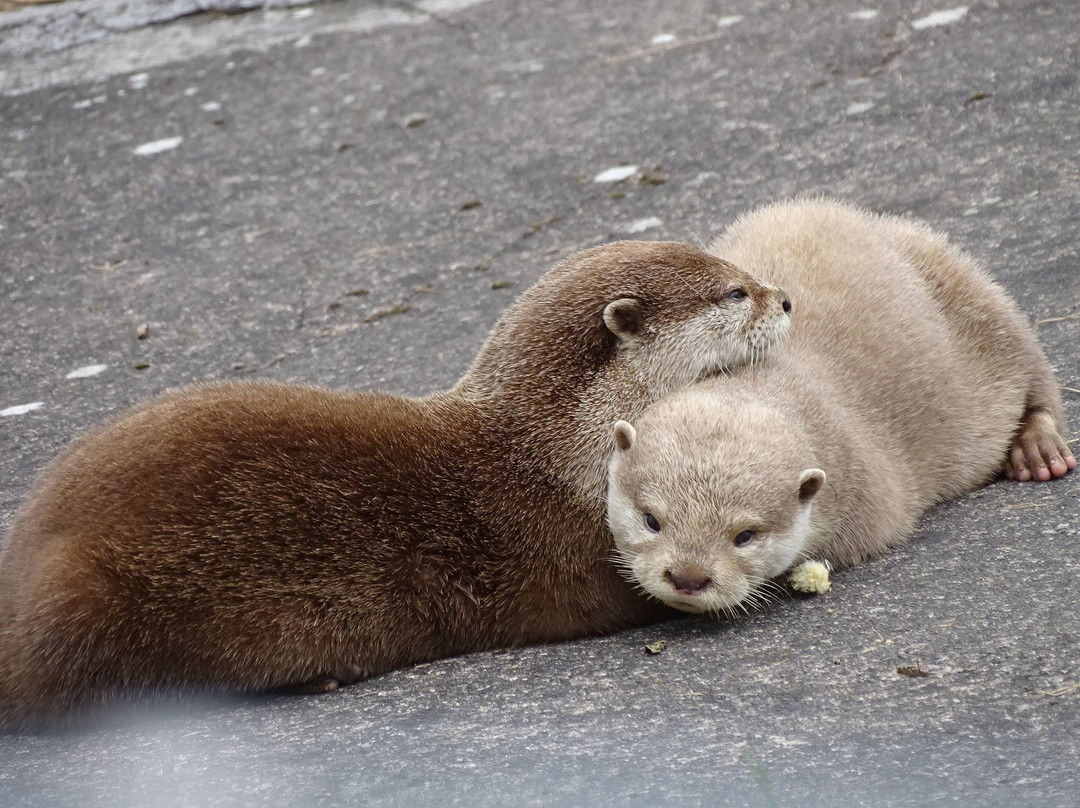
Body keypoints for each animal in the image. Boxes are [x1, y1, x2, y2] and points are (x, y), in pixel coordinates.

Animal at [609, 198, 1071, 613]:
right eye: (651, 520)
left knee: (1037, 375)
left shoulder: (870, 493)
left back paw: (1038, 448)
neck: (770, 378)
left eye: (745, 536)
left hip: (984, 303)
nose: (688, 577)